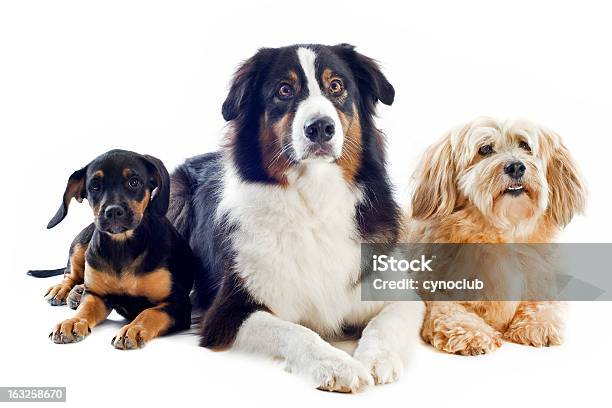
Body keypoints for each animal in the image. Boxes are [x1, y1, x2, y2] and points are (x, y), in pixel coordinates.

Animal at [31, 150, 194, 350]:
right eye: (94, 186)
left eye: (134, 182)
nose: (113, 211)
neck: (122, 247)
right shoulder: (97, 296)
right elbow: (85, 309)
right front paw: (72, 322)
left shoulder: (178, 303)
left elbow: (150, 313)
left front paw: (134, 329)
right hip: (81, 244)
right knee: (71, 273)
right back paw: (64, 290)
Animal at [404, 116, 584, 356]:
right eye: (485, 149)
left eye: (525, 145)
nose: (516, 166)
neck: (503, 234)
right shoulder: (436, 288)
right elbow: (449, 310)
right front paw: (471, 333)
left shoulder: (544, 281)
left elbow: (545, 303)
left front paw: (537, 325)